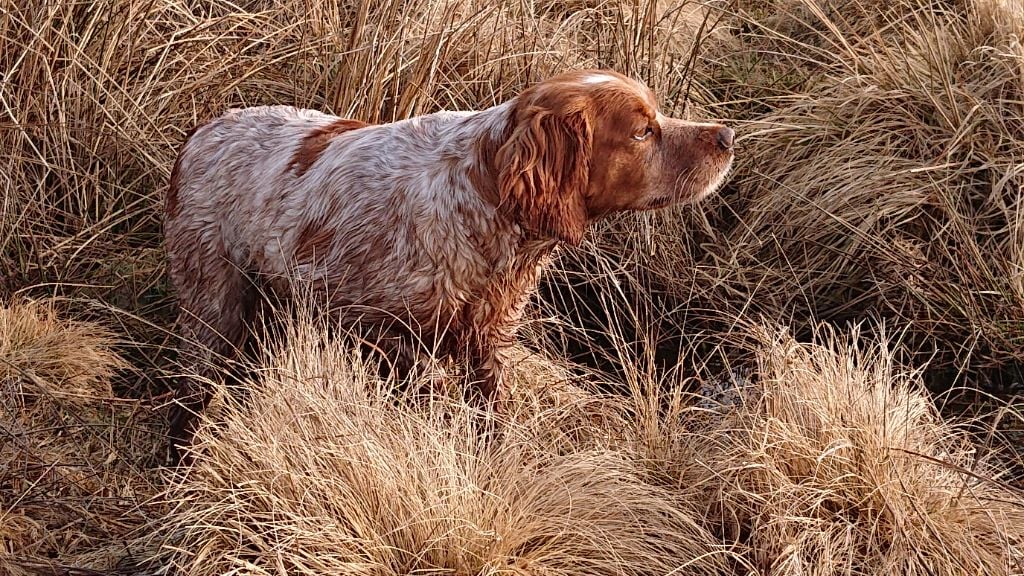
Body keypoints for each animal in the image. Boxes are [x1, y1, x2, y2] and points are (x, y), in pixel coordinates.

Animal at [163, 68, 733, 461]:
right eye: (641, 132)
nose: (727, 136)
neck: (485, 203)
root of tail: (198, 134)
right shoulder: (376, 331)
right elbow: (429, 396)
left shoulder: (488, 340)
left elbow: (489, 417)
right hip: (212, 308)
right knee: (189, 397)